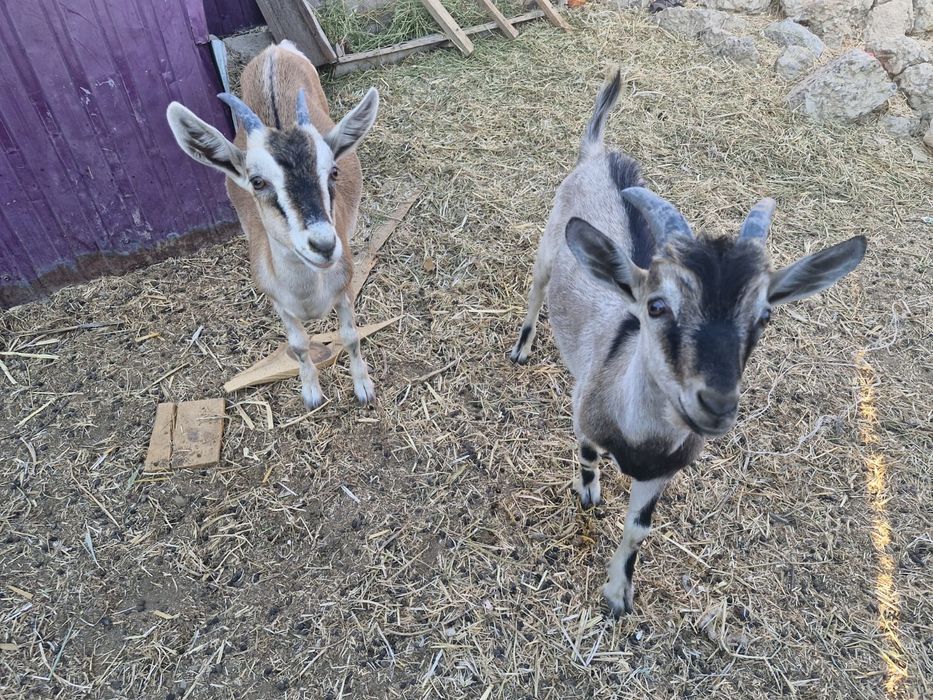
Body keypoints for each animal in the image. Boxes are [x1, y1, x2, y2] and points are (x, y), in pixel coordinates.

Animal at [166, 41, 379, 408]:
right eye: (257, 181)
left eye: (333, 171)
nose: (323, 245)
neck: (308, 297)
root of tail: (274, 51)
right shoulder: (280, 304)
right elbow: (298, 346)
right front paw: (311, 393)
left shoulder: (345, 288)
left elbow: (350, 336)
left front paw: (363, 387)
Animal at [510, 68, 867, 615]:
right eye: (657, 306)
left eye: (764, 316)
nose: (716, 404)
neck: (640, 435)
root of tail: (597, 153)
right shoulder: (586, 414)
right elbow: (588, 458)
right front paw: (587, 493)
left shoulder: (663, 473)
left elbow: (639, 528)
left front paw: (618, 594)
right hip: (549, 249)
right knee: (535, 293)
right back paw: (522, 348)